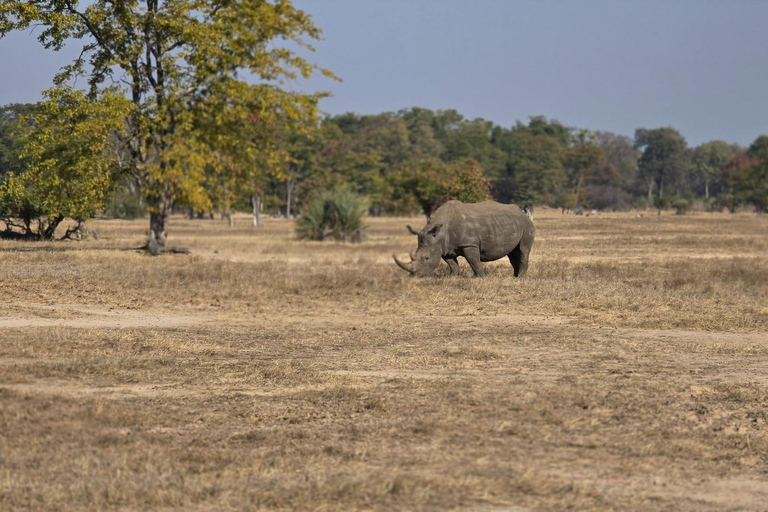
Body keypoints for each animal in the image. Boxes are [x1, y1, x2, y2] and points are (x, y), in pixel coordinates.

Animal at [393, 200, 534, 277]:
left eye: (426, 258)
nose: (414, 277)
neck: (439, 234)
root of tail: (523, 213)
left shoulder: (469, 244)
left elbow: (474, 262)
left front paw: (480, 277)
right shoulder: (445, 247)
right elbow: (452, 264)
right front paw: (452, 277)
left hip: (526, 225)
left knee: (523, 249)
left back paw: (520, 278)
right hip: (511, 223)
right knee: (513, 253)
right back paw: (514, 277)